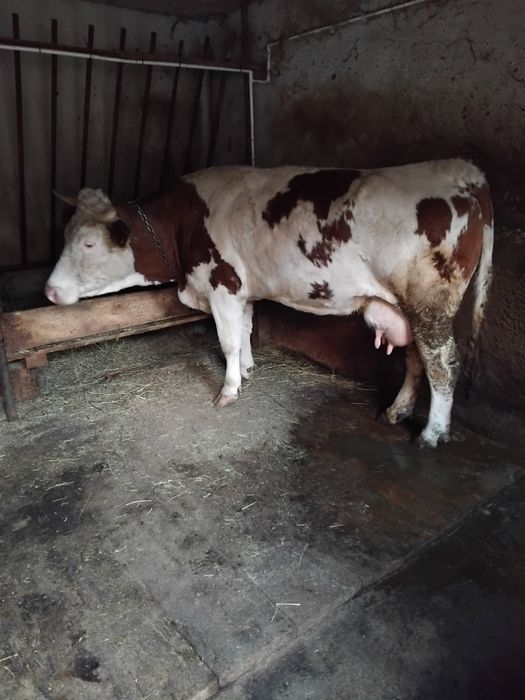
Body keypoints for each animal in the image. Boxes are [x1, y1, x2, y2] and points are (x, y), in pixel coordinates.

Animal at [45, 159, 493, 448]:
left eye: (88, 243)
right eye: (64, 233)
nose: (49, 291)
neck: (182, 223)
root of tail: (464, 171)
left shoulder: (223, 284)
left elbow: (227, 340)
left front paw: (228, 390)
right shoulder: (243, 289)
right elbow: (244, 330)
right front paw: (247, 370)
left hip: (430, 305)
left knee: (442, 363)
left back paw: (432, 434)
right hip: (404, 307)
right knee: (416, 359)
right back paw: (396, 412)